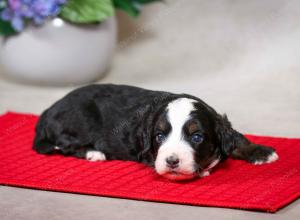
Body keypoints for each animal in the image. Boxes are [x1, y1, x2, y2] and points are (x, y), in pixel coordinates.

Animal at [33, 84, 278, 180]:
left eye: (197, 137)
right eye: (159, 137)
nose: (172, 161)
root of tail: (50, 109)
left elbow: (237, 138)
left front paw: (261, 151)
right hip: (81, 119)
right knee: (64, 144)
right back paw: (94, 153)